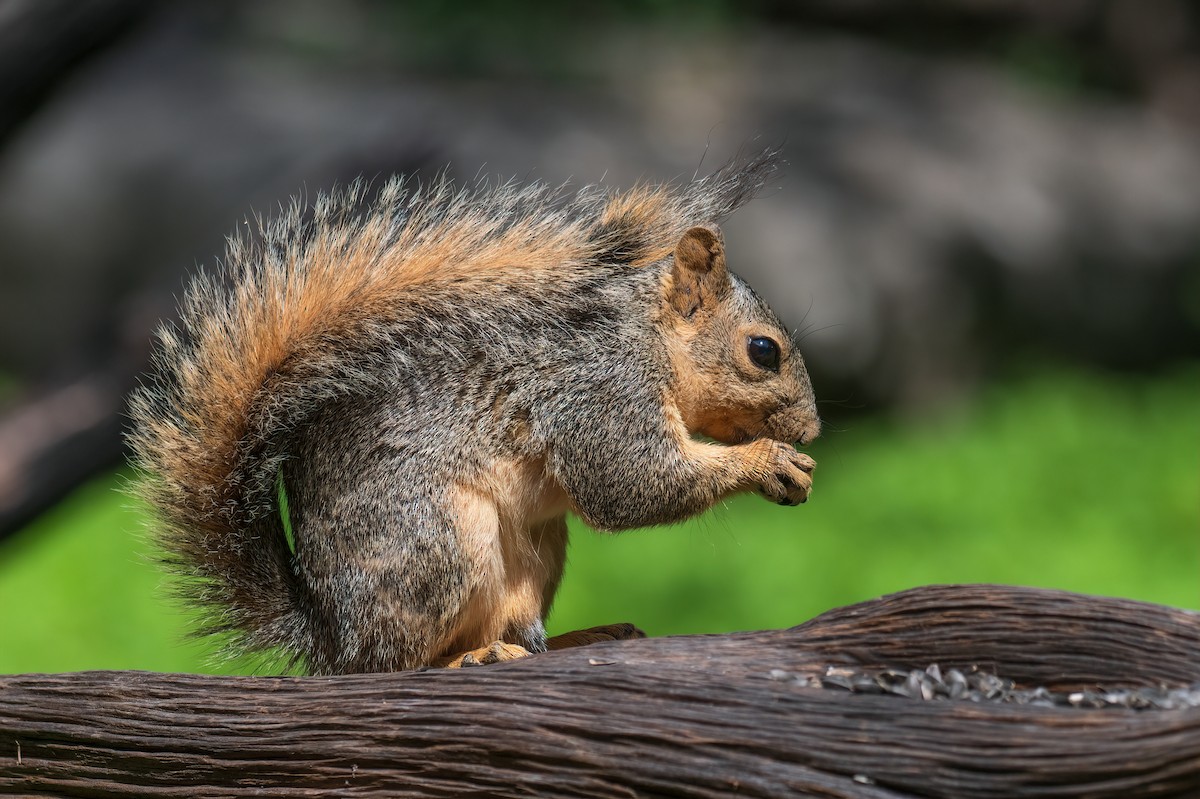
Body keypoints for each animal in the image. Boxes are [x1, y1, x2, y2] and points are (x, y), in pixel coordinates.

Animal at [128, 148, 820, 675]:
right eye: (763, 351)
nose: (813, 430)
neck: (648, 338)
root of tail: (331, 636)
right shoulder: (601, 390)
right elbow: (630, 483)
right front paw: (768, 461)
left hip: (535, 552)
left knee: (516, 629)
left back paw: (569, 639)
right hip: (440, 543)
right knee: (395, 664)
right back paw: (464, 658)